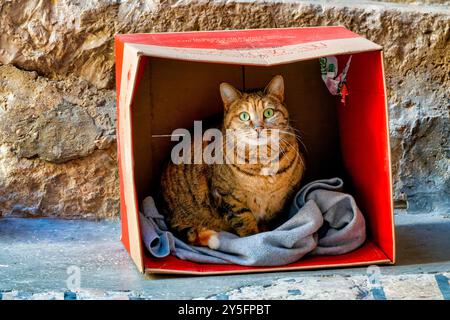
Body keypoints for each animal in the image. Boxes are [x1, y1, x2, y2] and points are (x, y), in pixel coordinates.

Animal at [160, 75, 304, 250]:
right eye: (244, 116)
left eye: (268, 112)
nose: (258, 128)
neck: (262, 157)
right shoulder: (226, 196)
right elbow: (243, 220)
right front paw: (254, 239)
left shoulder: (285, 196)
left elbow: (272, 218)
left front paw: (267, 231)